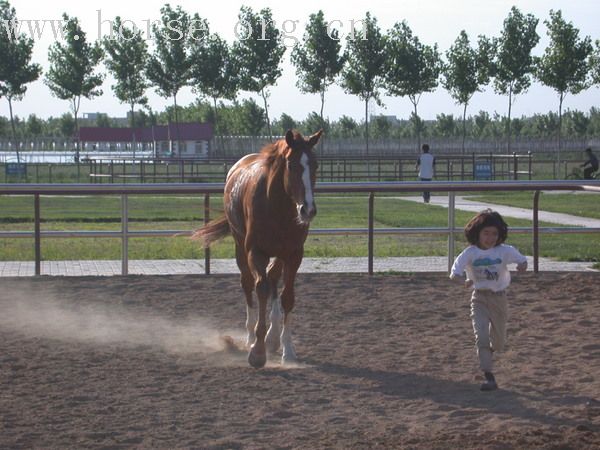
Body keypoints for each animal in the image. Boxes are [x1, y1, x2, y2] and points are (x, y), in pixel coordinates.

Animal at [195, 128, 322, 368]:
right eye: (291, 164)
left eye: (315, 165)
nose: (307, 210)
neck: (277, 208)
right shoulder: (256, 252)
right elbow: (260, 288)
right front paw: (257, 351)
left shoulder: (294, 254)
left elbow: (287, 296)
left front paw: (287, 350)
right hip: (240, 247)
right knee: (248, 284)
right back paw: (250, 337)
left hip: (279, 255)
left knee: (273, 278)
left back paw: (273, 338)